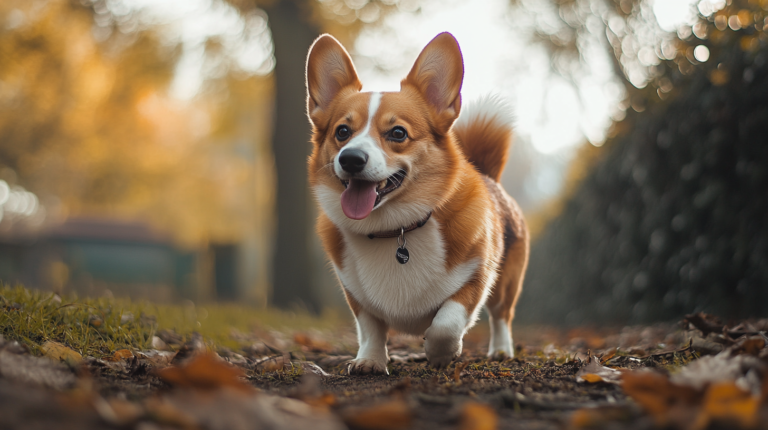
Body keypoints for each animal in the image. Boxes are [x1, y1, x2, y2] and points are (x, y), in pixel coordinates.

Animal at [306, 31, 528, 372]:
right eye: (342, 131)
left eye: (398, 133)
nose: (351, 158)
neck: (395, 229)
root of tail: (489, 175)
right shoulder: (354, 293)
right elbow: (370, 328)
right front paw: (369, 360)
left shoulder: (476, 278)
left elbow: (445, 323)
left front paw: (441, 353)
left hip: (506, 283)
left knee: (502, 315)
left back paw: (502, 350)